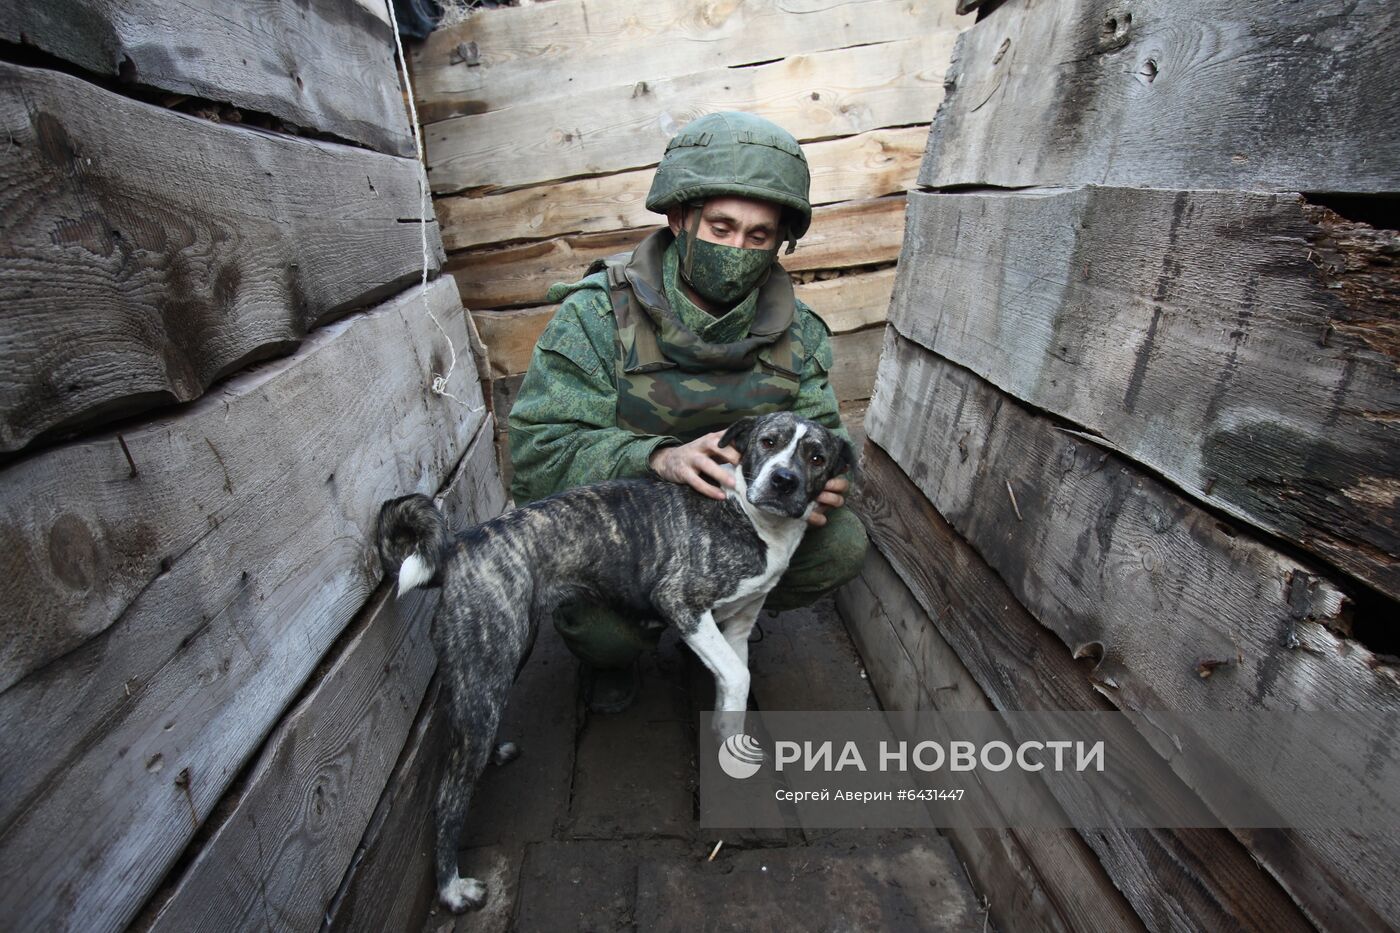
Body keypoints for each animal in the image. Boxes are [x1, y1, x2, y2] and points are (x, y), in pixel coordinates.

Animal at [372, 411, 851, 907]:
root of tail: (458, 545)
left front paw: (729, 742)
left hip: (496, 661)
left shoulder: (736, 626)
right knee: (448, 793)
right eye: (768, 442)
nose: (783, 480)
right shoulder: (681, 603)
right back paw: (451, 889)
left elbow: (734, 682)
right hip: (487, 668)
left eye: (817, 457)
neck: (749, 515)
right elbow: (738, 676)